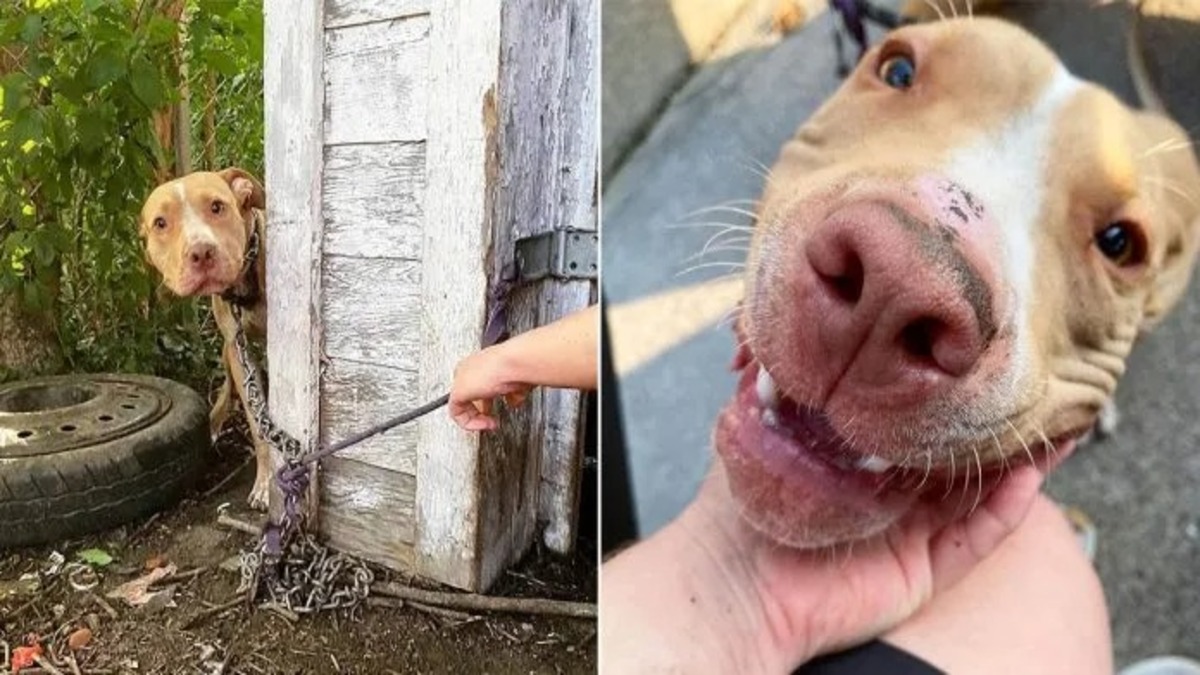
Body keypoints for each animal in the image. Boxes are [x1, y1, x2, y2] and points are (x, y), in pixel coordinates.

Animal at [138, 169, 272, 509]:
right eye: (161, 223)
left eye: (217, 206)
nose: (201, 252)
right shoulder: (238, 349)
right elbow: (258, 424)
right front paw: (266, 481)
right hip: (227, 351)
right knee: (227, 385)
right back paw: (212, 422)